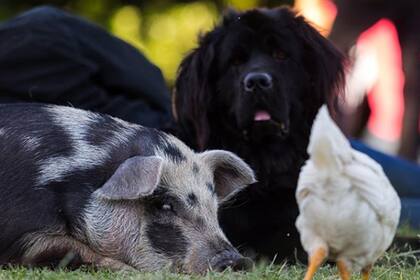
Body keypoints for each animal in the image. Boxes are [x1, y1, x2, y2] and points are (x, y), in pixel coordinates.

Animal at [0, 103, 256, 274]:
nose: (236, 260)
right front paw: (130, 271)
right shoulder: (21, 232)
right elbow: (66, 248)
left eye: (213, 208)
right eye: (165, 205)